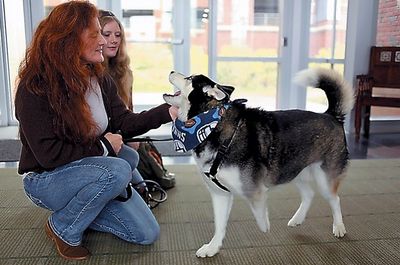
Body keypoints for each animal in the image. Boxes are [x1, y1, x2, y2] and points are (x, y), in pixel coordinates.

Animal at [162, 67, 354, 256]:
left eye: (189, 78)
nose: (170, 71)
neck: (211, 125)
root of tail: (331, 116)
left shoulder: (253, 189)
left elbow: (259, 212)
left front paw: (264, 226)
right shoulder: (220, 194)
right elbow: (219, 225)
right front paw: (213, 247)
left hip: (324, 177)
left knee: (334, 199)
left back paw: (338, 226)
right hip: (294, 170)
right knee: (309, 194)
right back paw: (297, 219)